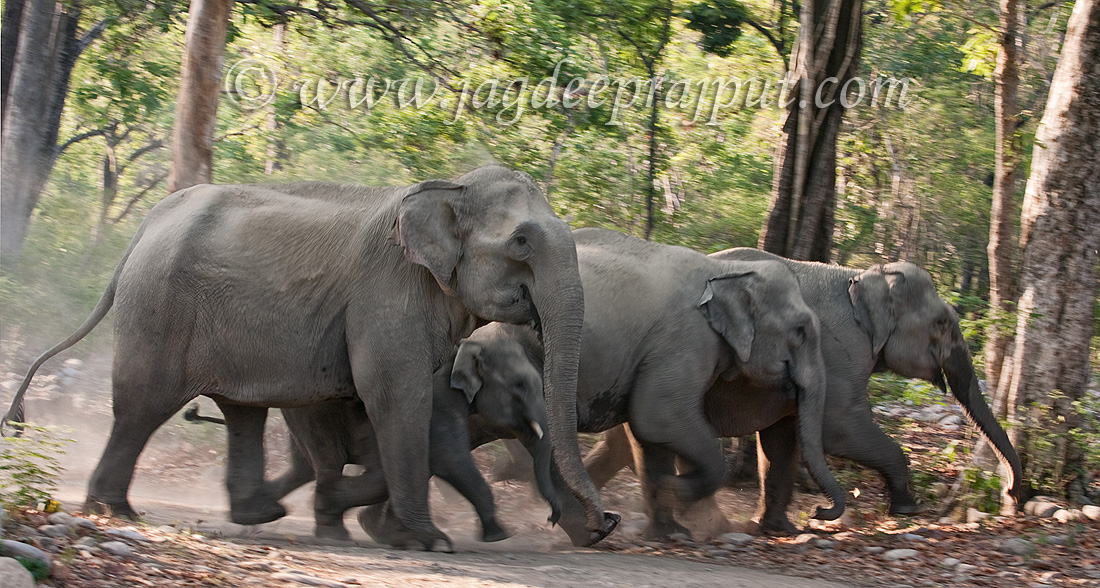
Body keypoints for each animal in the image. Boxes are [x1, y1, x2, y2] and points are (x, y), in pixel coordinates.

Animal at [185, 323, 559, 542]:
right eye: (520, 384)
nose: (552, 519)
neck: (470, 343)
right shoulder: (436, 398)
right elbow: (448, 458)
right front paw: (499, 535)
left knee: (308, 467)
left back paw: (264, 512)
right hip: (313, 412)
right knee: (329, 462)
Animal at [580, 251, 1023, 533]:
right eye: (943, 324)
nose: (1012, 494)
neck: (861, 275)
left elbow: (782, 439)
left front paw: (780, 531)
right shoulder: (843, 353)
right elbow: (837, 429)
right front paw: (907, 509)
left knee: (625, 442)